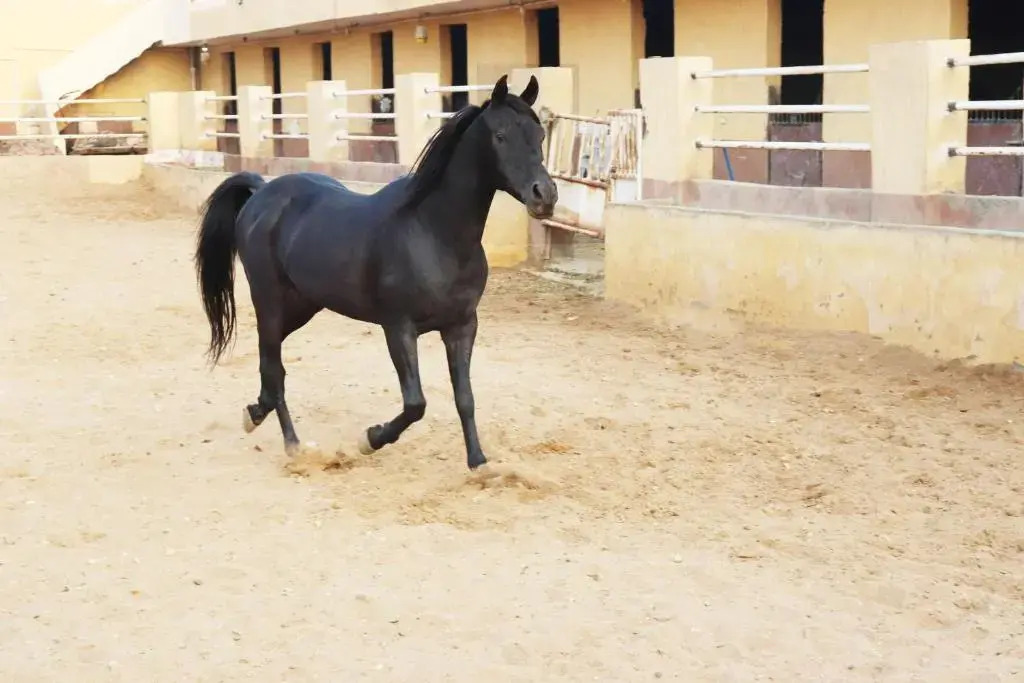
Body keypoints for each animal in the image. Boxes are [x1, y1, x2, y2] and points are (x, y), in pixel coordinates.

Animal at [193, 74, 557, 471]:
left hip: (303, 305)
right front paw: (370, 439)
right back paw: (291, 443)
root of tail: (260, 193)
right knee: (274, 367)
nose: (545, 194)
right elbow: (416, 404)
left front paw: (478, 463)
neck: (432, 232)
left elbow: (465, 397)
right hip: (270, 300)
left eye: (539, 135)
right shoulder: (398, 327)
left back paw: (259, 416)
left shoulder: (461, 326)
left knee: (270, 365)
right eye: (501, 135)